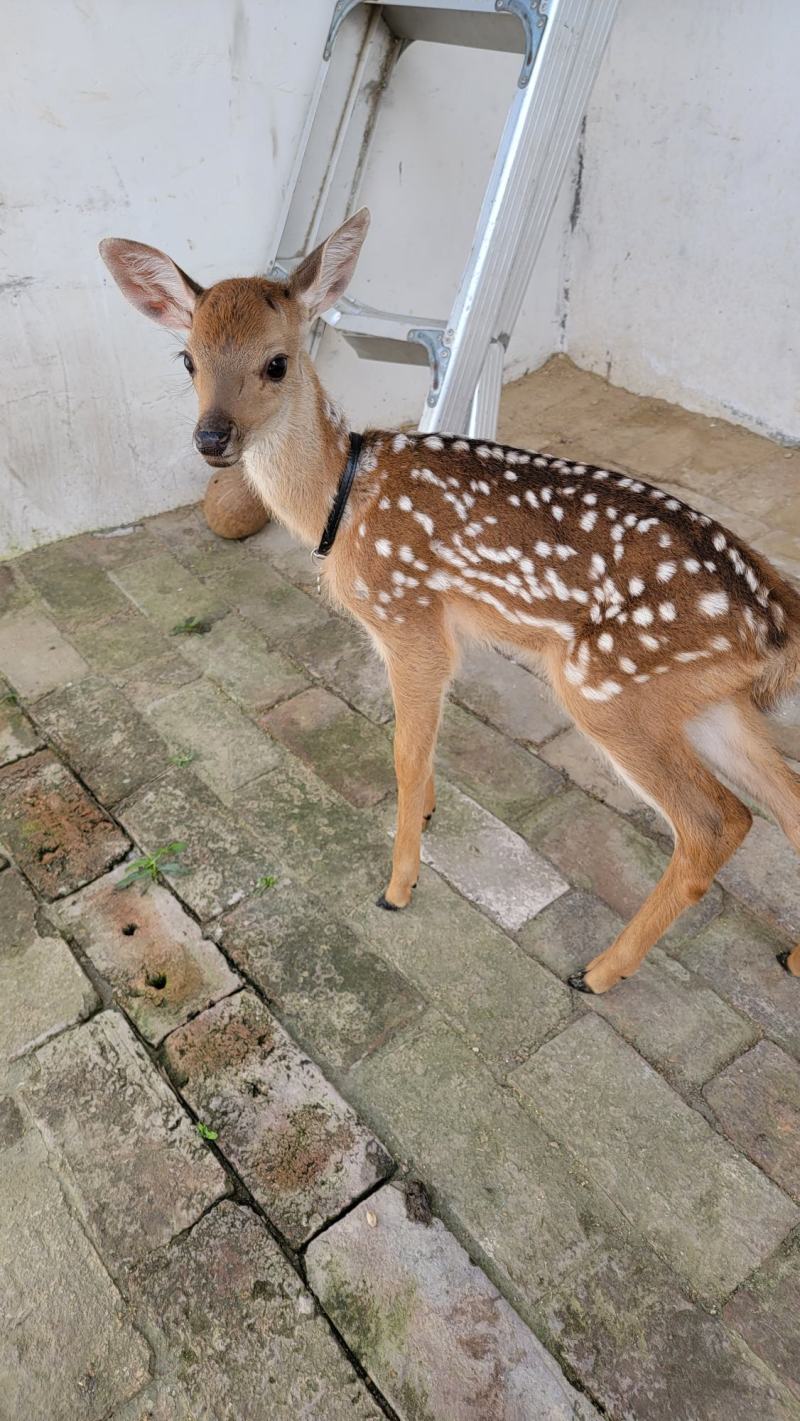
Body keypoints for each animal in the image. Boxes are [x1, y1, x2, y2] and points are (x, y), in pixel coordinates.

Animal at [100, 209, 800, 994]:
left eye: (276, 362)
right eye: (186, 359)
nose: (211, 437)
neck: (342, 501)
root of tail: (778, 614)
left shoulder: (409, 617)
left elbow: (404, 754)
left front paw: (398, 886)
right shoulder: (421, 630)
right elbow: (419, 749)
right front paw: (427, 820)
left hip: (609, 685)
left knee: (713, 822)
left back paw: (598, 971)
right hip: (704, 698)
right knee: (777, 805)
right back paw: (790, 956)